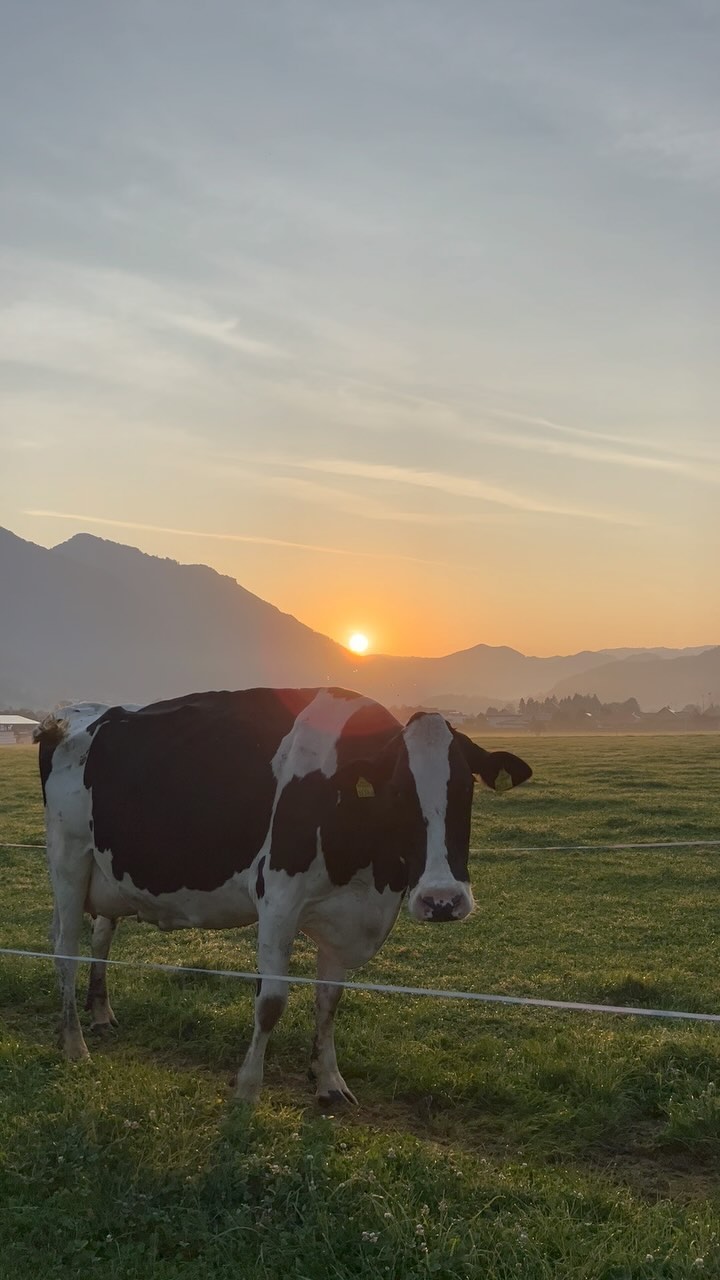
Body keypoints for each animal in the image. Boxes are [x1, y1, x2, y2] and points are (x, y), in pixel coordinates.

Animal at [36, 687, 532, 1105]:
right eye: (396, 792)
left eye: (465, 788)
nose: (442, 901)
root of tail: (66, 714)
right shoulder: (277, 898)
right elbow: (272, 1000)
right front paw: (247, 1088)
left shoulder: (346, 914)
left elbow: (329, 1000)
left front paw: (329, 1081)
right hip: (68, 859)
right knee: (65, 949)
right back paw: (74, 1044)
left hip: (107, 874)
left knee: (100, 937)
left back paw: (100, 1016)